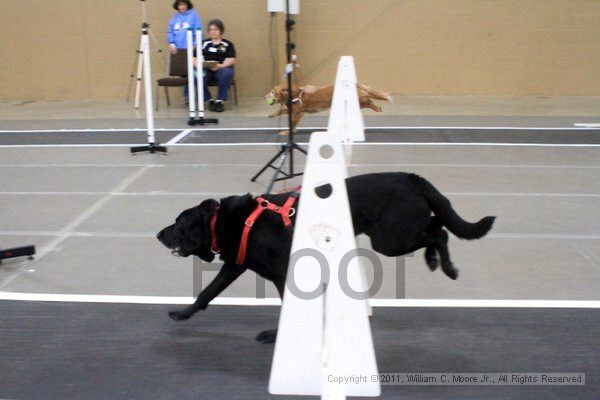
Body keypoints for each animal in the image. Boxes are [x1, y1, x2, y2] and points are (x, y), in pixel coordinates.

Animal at [157, 172, 494, 344]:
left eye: (178, 222)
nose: (158, 234)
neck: (230, 221)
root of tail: (410, 177)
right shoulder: (235, 265)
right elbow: (207, 292)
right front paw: (182, 313)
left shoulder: (283, 275)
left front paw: (276, 335)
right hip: (398, 233)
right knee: (437, 225)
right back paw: (434, 260)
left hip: (389, 239)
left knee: (440, 232)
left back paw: (447, 266)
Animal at [264, 83, 392, 135]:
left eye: (272, 92)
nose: (264, 97)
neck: (292, 94)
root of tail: (356, 84)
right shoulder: (293, 110)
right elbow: (281, 111)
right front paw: (272, 115)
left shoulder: (297, 112)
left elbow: (292, 123)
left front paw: (287, 132)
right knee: (368, 101)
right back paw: (377, 107)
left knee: (368, 100)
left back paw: (378, 106)